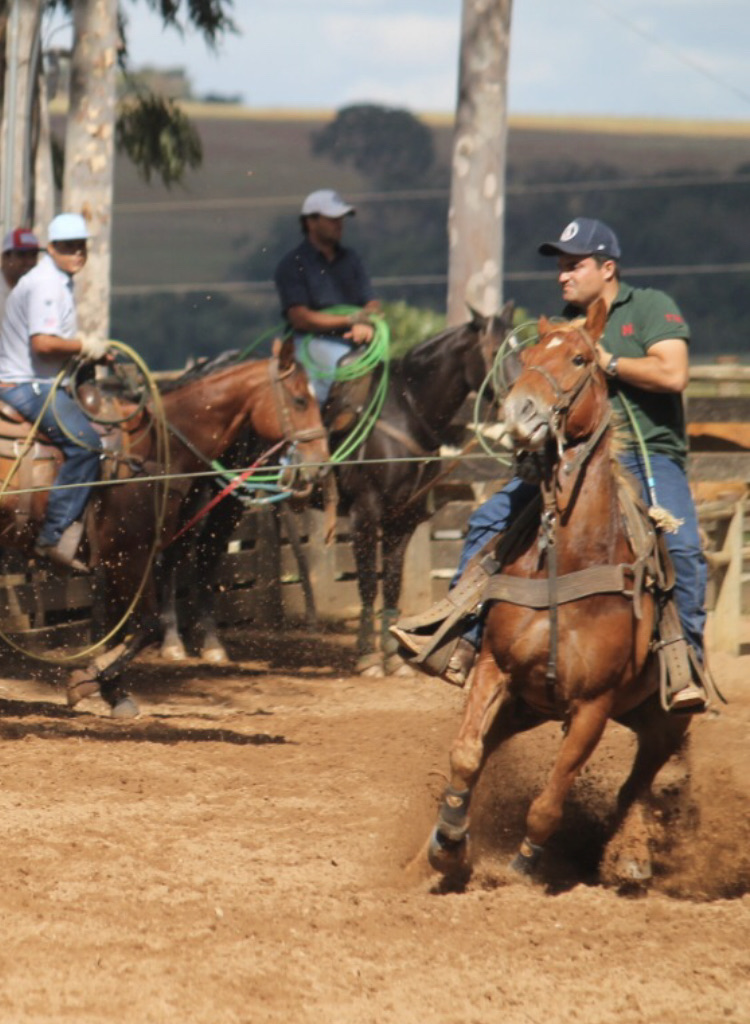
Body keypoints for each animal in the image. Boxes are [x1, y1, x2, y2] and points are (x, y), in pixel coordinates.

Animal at [0, 339, 327, 716]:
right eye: (300, 400)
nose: (320, 465)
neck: (156, 447)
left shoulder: (120, 557)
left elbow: (121, 627)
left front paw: (114, 693)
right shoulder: (130, 555)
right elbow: (148, 624)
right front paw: (87, 680)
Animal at [422, 299, 692, 884]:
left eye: (579, 358)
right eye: (523, 359)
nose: (520, 413)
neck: (569, 559)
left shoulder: (593, 706)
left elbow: (550, 802)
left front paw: (523, 868)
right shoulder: (495, 668)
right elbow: (466, 755)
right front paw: (448, 843)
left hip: (660, 721)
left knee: (638, 785)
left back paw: (632, 857)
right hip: (525, 707)